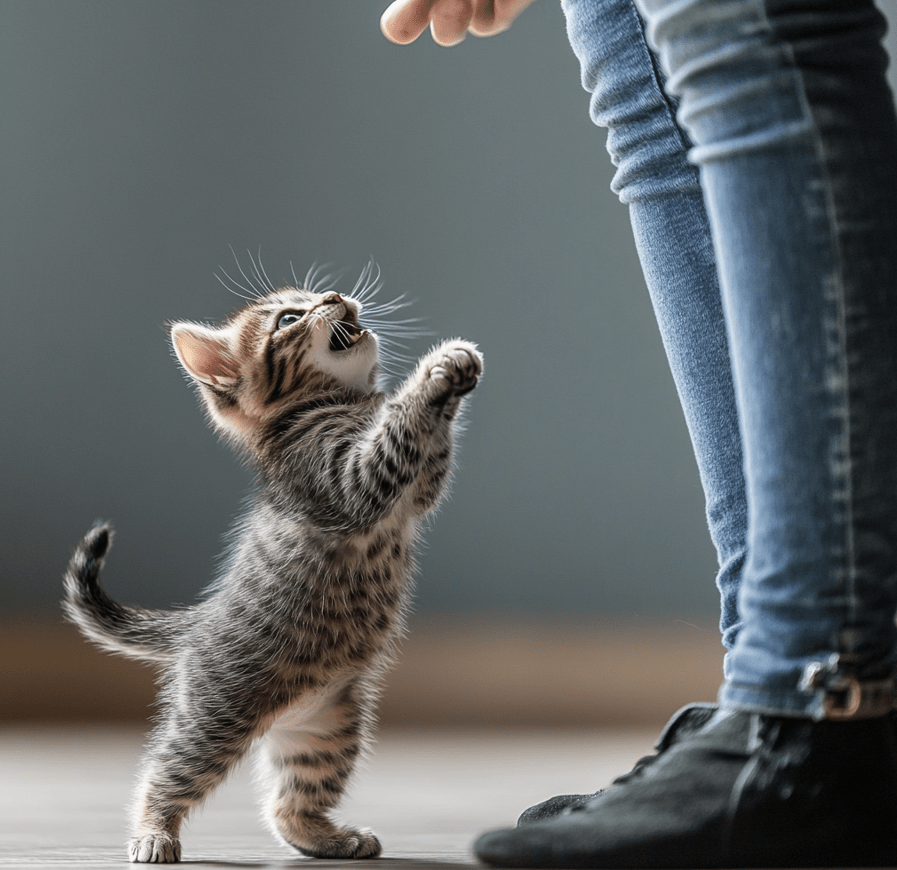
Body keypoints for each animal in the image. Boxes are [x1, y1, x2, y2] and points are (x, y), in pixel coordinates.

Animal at [61, 268, 484, 864]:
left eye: (316, 297)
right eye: (288, 318)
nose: (335, 297)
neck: (332, 404)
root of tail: (197, 625)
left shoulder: (415, 492)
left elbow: (428, 453)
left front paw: (455, 371)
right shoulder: (350, 484)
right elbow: (397, 426)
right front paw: (435, 370)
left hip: (328, 729)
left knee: (287, 806)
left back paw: (326, 837)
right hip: (218, 715)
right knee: (166, 770)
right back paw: (152, 833)